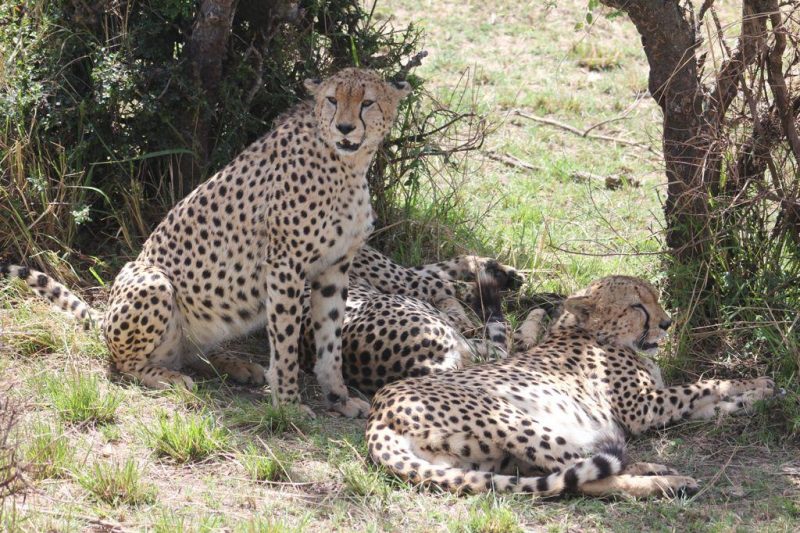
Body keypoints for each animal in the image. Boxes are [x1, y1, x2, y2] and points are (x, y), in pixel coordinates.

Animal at [1, 67, 406, 416]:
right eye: (332, 100)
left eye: (367, 102)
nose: (345, 128)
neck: (348, 164)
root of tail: (105, 320)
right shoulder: (284, 266)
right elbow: (286, 342)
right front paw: (289, 405)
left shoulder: (334, 268)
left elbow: (330, 342)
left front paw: (338, 398)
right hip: (153, 281)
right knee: (124, 364)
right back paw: (170, 378)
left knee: (192, 354)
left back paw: (238, 366)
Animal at [368, 276, 776, 496]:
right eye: (637, 307)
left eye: (656, 299)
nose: (667, 323)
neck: (586, 330)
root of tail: (379, 409)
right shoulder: (644, 407)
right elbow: (703, 386)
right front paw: (757, 384)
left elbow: (712, 401)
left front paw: (761, 393)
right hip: (510, 417)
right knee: (584, 475)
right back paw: (668, 481)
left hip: (491, 457)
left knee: (574, 472)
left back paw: (656, 471)